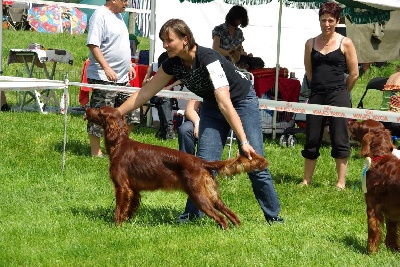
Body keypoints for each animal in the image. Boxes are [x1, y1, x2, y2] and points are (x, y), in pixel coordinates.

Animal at [85, 107, 268, 230]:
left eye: (100, 111)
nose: (87, 108)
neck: (119, 144)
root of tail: (201, 162)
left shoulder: (122, 188)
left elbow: (118, 210)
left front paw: (116, 226)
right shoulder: (134, 191)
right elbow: (128, 210)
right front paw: (125, 222)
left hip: (198, 195)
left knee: (221, 218)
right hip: (211, 194)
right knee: (229, 212)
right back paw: (237, 228)